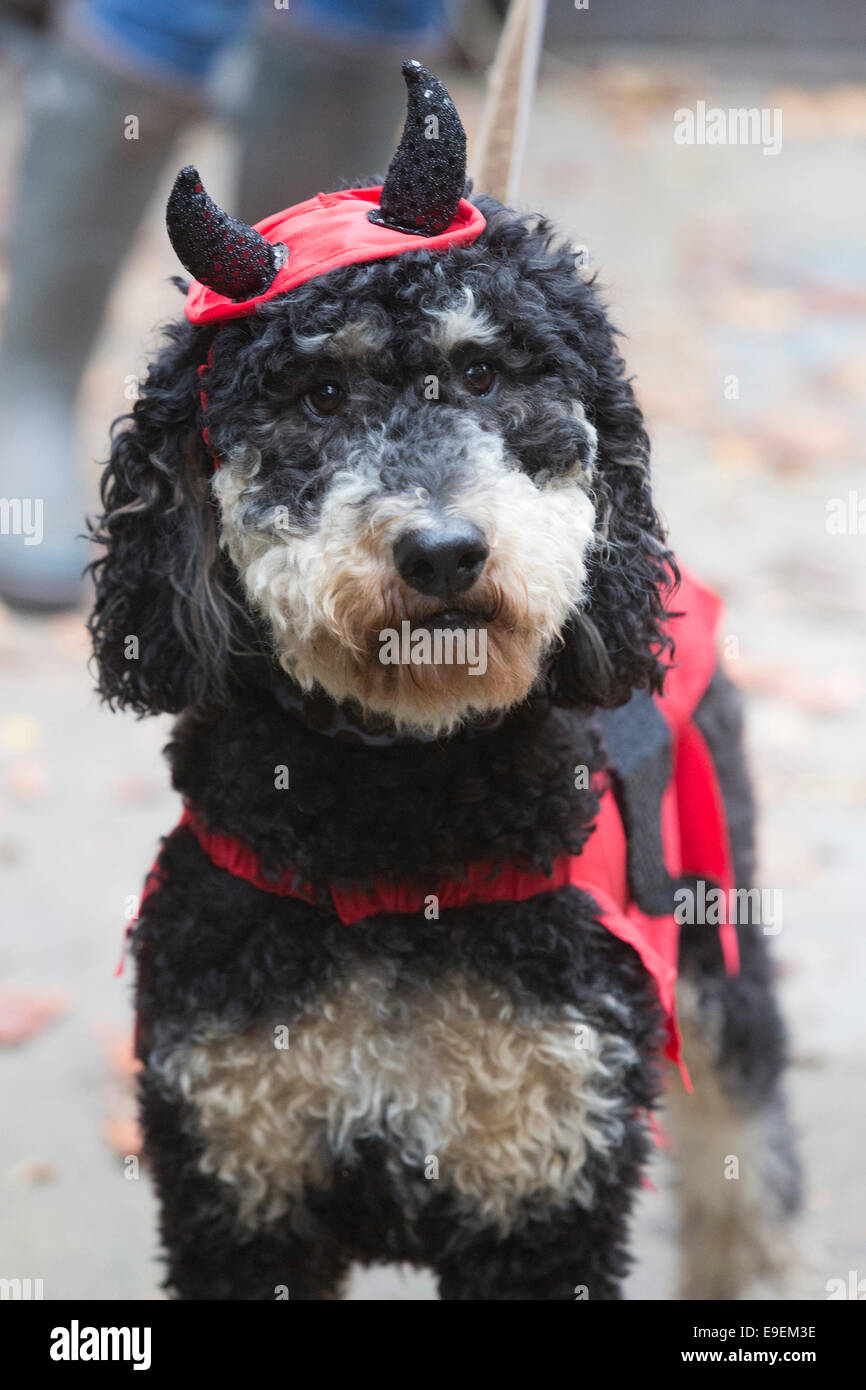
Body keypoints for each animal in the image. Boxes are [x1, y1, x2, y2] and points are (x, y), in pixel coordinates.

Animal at [88, 62, 800, 1301]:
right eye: (317, 396)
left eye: (479, 370)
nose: (442, 552)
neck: (396, 833)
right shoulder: (237, 1185)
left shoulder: (545, 1189)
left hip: (716, 928)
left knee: (748, 1139)